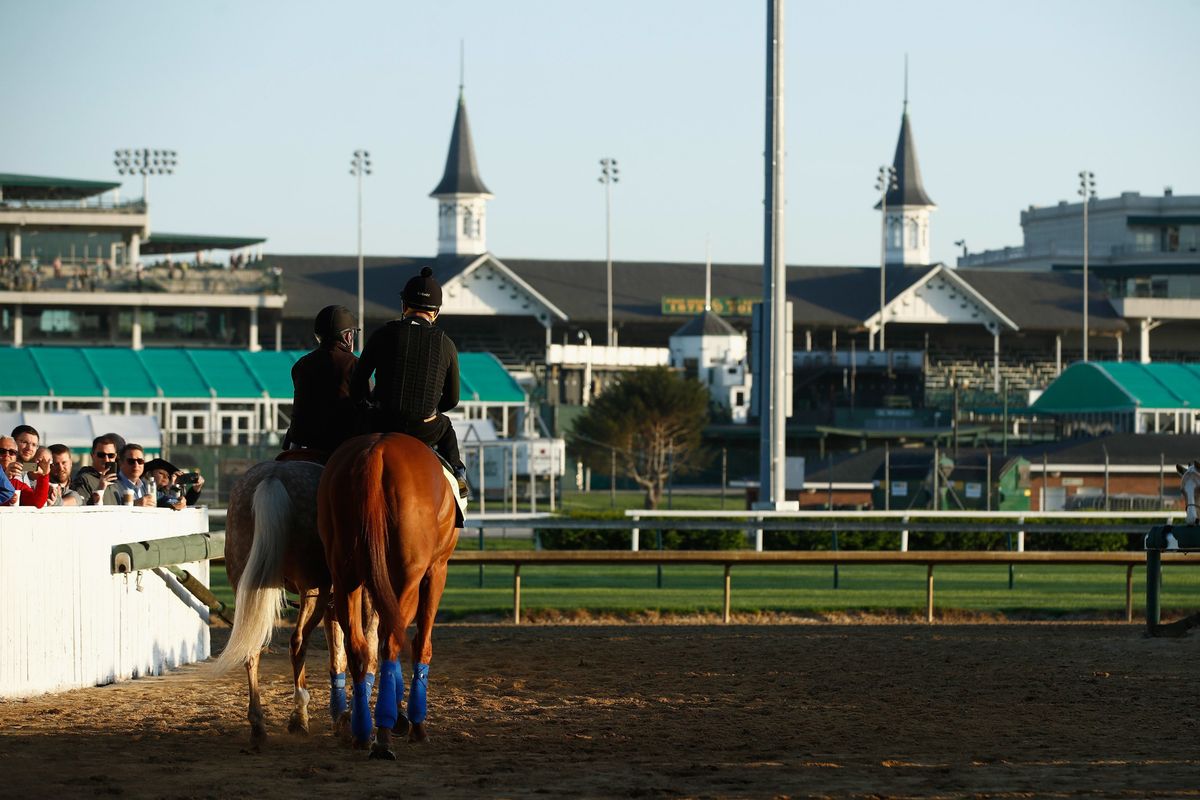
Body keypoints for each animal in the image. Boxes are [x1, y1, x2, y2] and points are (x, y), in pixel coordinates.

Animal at [211, 458, 379, 746]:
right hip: (314, 588)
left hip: (247, 582)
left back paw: (258, 724)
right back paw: (299, 715)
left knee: (252, 649)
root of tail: (273, 475)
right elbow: (364, 646)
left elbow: (340, 652)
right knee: (298, 641)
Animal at [317, 432, 460, 759]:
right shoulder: (436, 570)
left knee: (359, 647)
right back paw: (382, 733)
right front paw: (414, 724)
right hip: (409, 574)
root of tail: (376, 451)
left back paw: (362, 730)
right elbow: (420, 644)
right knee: (392, 641)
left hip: (345, 576)